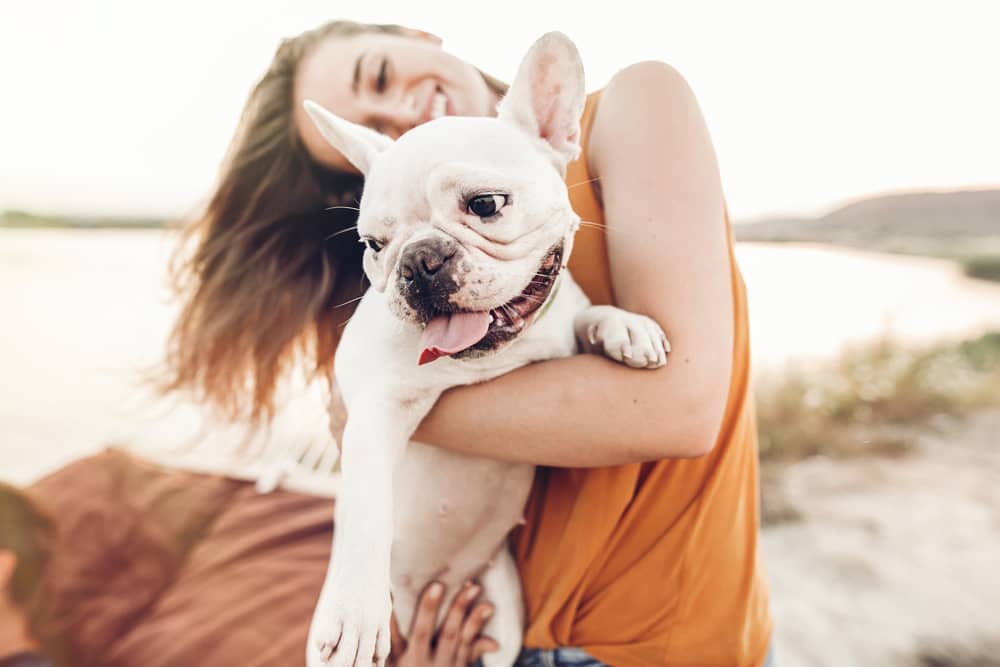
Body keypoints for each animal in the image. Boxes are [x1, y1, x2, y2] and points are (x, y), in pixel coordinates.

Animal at [300, 32, 668, 667]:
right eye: (374, 245)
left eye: (486, 205)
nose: (419, 260)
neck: (490, 358)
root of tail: (432, 586)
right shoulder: (374, 409)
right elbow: (368, 501)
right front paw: (353, 614)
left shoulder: (561, 329)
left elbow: (587, 312)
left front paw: (626, 326)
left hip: (502, 613)